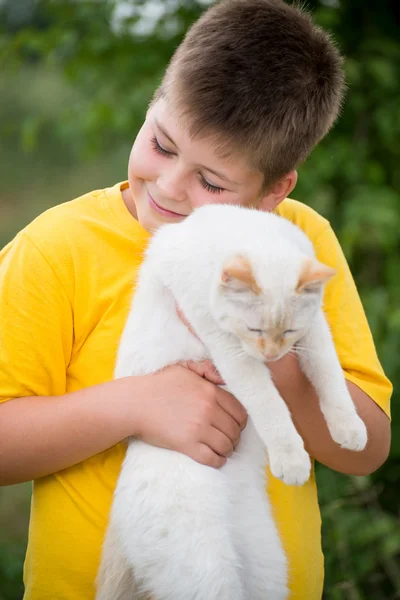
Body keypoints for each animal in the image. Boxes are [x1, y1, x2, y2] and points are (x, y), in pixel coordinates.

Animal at [95, 204, 368, 596]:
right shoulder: (229, 348)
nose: (271, 355)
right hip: (208, 574)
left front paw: (350, 429)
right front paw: (292, 460)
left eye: (288, 330)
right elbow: (269, 403)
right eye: (255, 329)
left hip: (266, 569)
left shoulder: (314, 328)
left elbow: (329, 374)